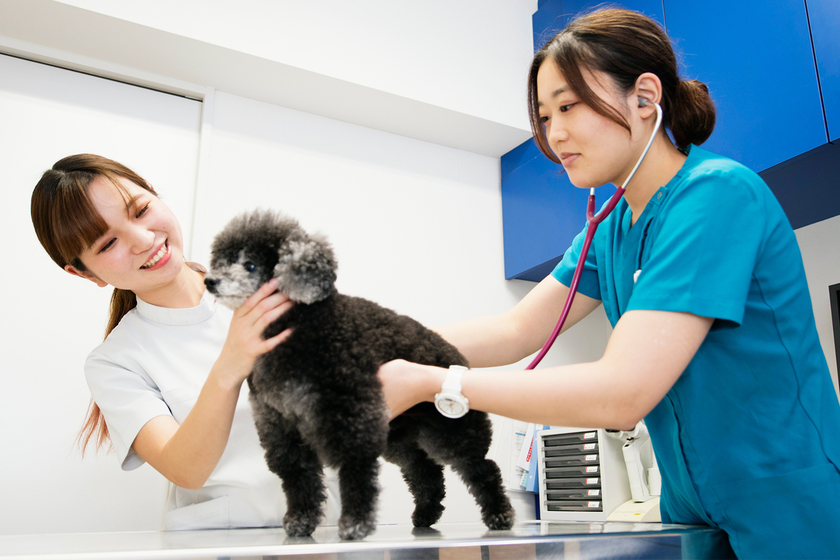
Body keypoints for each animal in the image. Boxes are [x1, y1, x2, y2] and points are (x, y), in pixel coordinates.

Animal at [207, 209, 516, 540]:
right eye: (221, 259)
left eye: (249, 264)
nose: (209, 280)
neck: (298, 325)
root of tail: (458, 358)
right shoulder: (279, 423)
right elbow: (297, 474)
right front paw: (301, 519)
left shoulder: (350, 413)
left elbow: (355, 468)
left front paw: (356, 522)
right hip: (401, 438)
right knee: (426, 472)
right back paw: (425, 513)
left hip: (451, 432)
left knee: (482, 468)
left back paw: (499, 513)